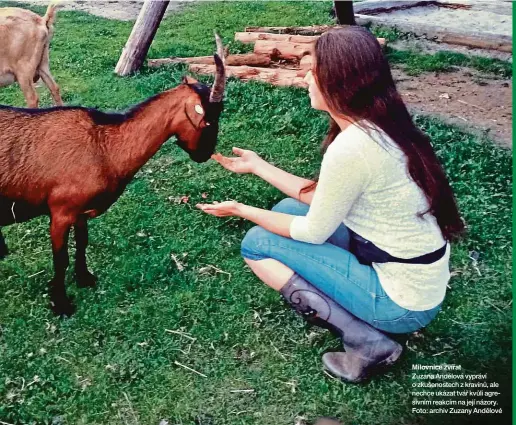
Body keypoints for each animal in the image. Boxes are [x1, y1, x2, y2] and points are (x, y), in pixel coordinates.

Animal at [0, 34, 226, 314]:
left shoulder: (80, 212)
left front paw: (85, 278)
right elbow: (60, 258)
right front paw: (61, 303)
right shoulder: (60, 212)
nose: (204, 154)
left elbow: (83, 242)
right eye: (208, 121)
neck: (104, 146)